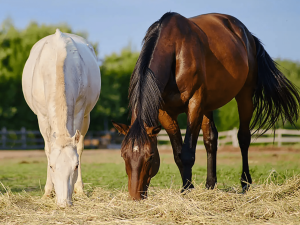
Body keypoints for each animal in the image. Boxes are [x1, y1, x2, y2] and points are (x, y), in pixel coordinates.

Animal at [21, 29, 101, 207]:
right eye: (51, 166)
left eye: (76, 166)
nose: (64, 203)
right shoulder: (42, 117)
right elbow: (47, 149)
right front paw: (48, 192)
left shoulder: (79, 112)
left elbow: (78, 147)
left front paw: (79, 190)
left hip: (87, 117)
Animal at [112, 12, 300, 200]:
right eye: (123, 155)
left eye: (150, 156)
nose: (135, 196)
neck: (175, 50)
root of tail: (247, 34)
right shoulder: (166, 113)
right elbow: (178, 154)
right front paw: (188, 187)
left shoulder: (194, 104)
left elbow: (187, 153)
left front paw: (187, 190)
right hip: (208, 106)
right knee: (211, 139)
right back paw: (210, 184)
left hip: (244, 96)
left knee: (243, 138)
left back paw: (245, 183)